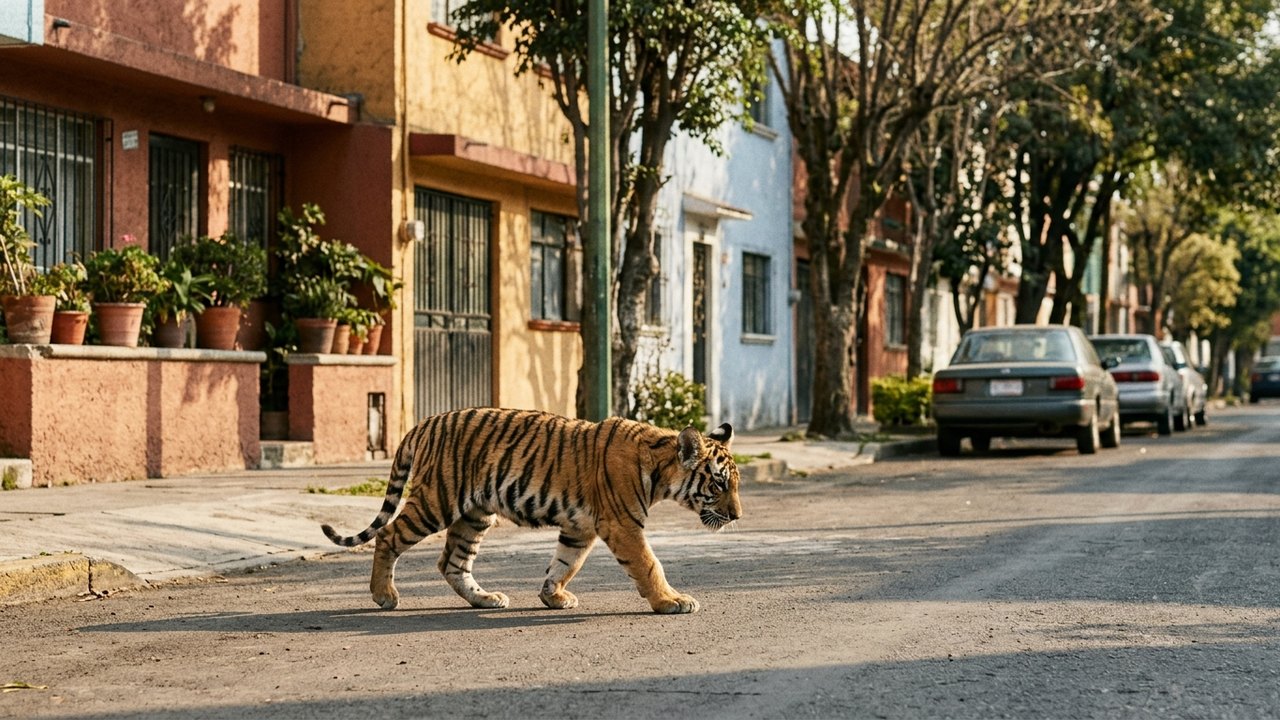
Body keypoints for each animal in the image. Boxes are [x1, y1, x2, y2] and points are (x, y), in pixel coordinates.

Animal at [321, 407, 742, 614]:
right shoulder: (623, 524)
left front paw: (552, 597)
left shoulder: (580, 527)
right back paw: (384, 595)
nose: (737, 516)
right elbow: (650, 564)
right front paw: (672, 601)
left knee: (452, 562)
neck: (660, 470)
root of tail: (423, 423)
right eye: (719, 484)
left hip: (475, 513)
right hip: (436, 501)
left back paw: (486, 599)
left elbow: (565, 563)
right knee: (388, 535)